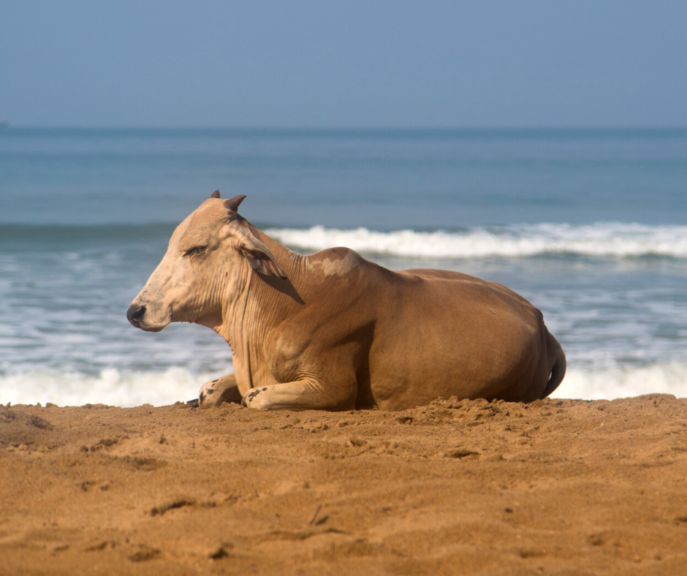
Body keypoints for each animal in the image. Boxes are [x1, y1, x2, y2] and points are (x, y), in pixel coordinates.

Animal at [126, 192, 568, 410]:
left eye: (196, 249)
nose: (136, 310)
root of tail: (543, 325)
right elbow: (212, 390)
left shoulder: (333, 388)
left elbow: (257, 399)